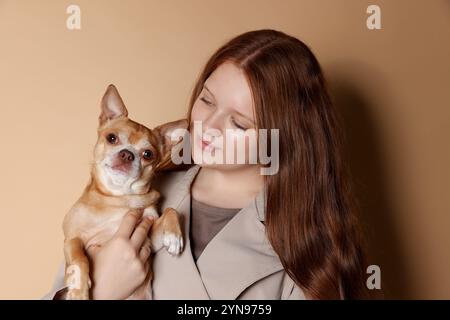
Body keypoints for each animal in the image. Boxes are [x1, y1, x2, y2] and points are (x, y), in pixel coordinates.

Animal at [61, 85, 185, 300]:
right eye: (112, 138)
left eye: (148, 154)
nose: (127, 154)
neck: (120, 198)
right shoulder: (72, 239)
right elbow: (79, 258)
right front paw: (78, 289)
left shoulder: (149, 238)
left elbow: (171, 210)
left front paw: (173, 236)